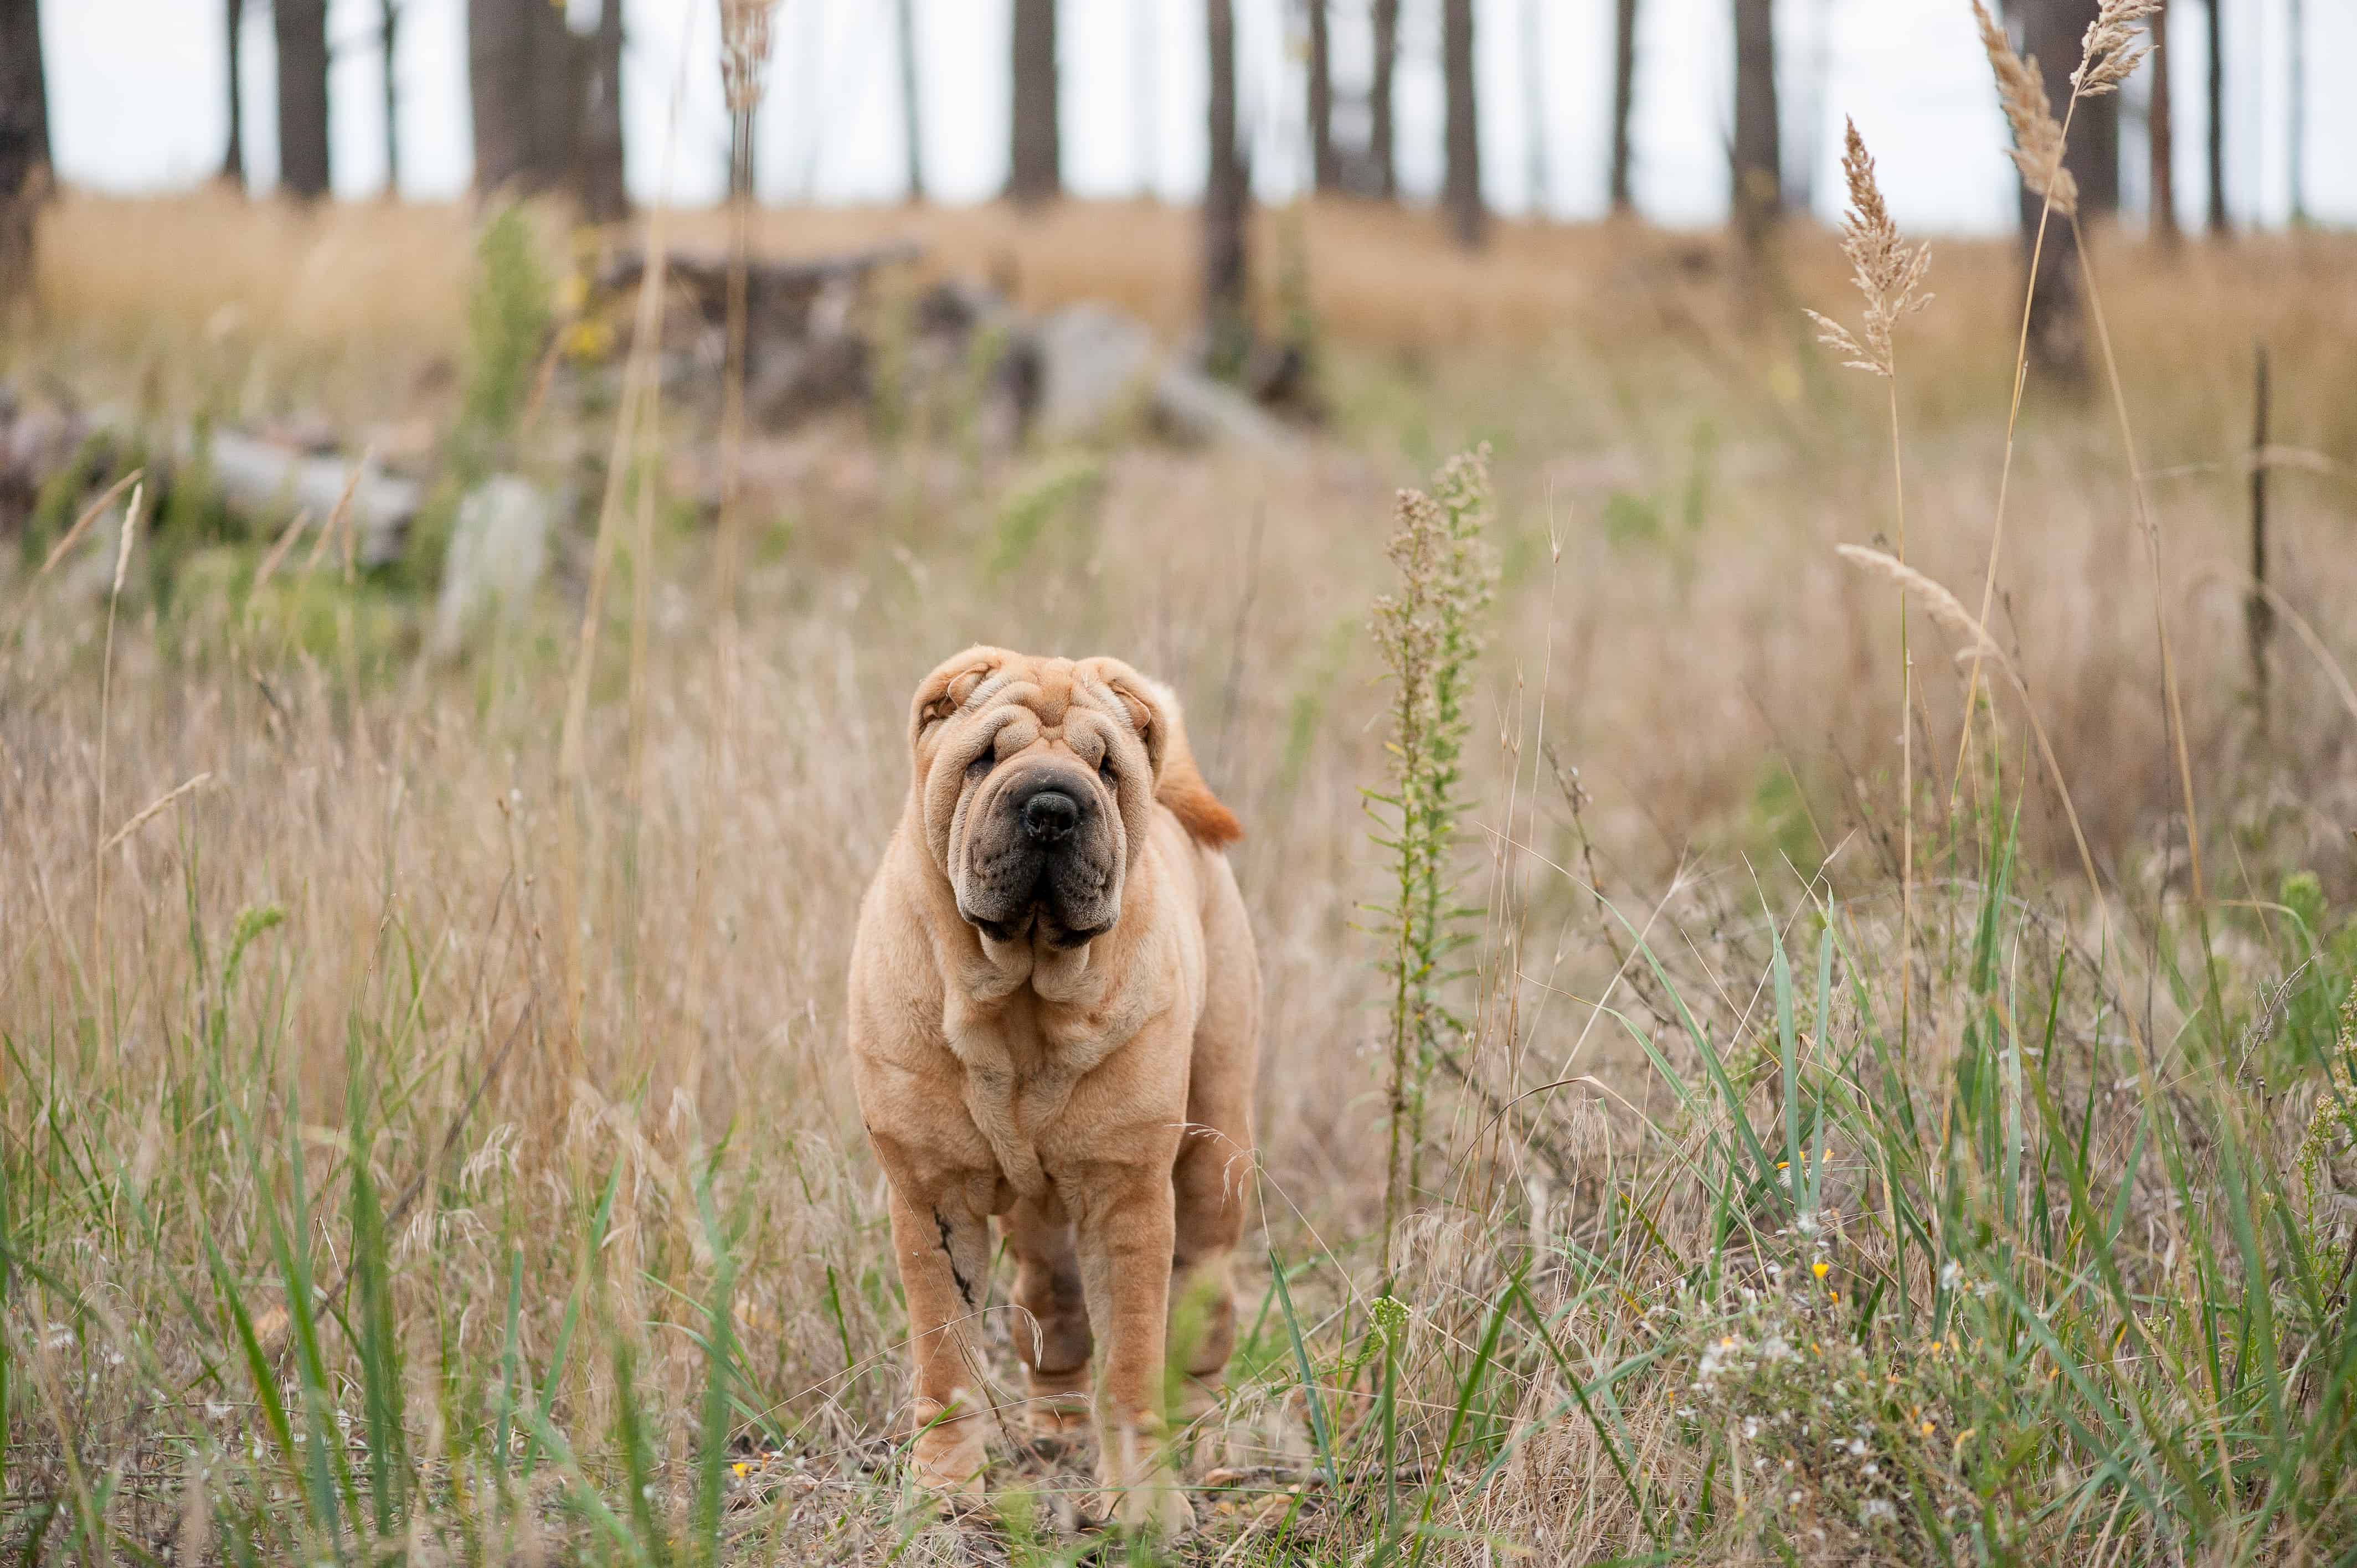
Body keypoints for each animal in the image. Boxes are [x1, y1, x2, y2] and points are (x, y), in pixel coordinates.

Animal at [843, 646, 1263, 1528]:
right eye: (983, 759)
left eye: (1106, 768)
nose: (1050, 806)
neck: (1021, 1004)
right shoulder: (931, 1194)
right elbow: (946, 1355)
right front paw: (944, 1488)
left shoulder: (1128, 1197)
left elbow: (1135, 1355)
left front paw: (1144, 1504)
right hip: (1038, 1219)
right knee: (1053, 1305)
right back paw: (1059, 1432)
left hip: (1215, 1163)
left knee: (1203, 1317)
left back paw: (1200, 1441)